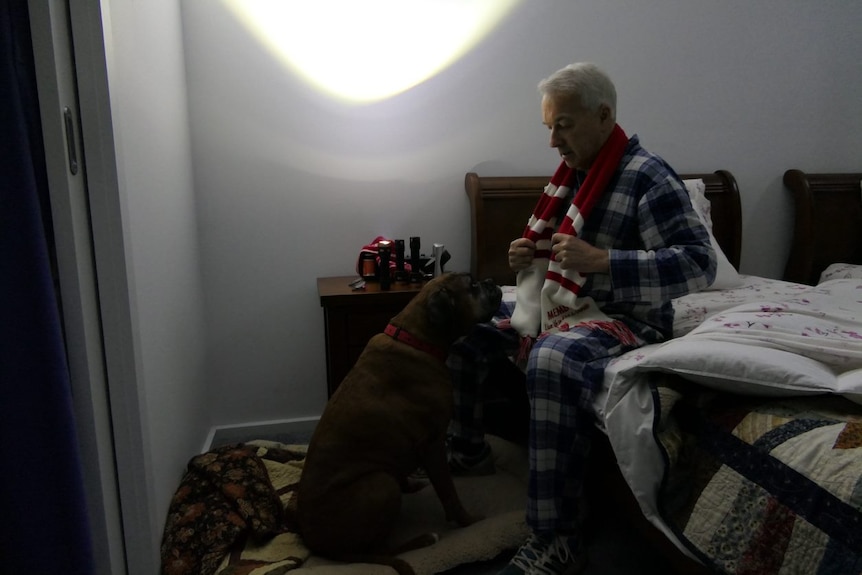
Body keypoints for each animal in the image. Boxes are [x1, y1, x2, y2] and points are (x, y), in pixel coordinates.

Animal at [296, 272, 502, 572]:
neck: (415, 338)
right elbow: (449, 492)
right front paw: (468, 521)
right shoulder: (433, 445)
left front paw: (411, 483)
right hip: (381, 484)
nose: (490, 281)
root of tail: (317, 545)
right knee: (382, 551)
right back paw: (425, 539)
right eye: (472, 286)